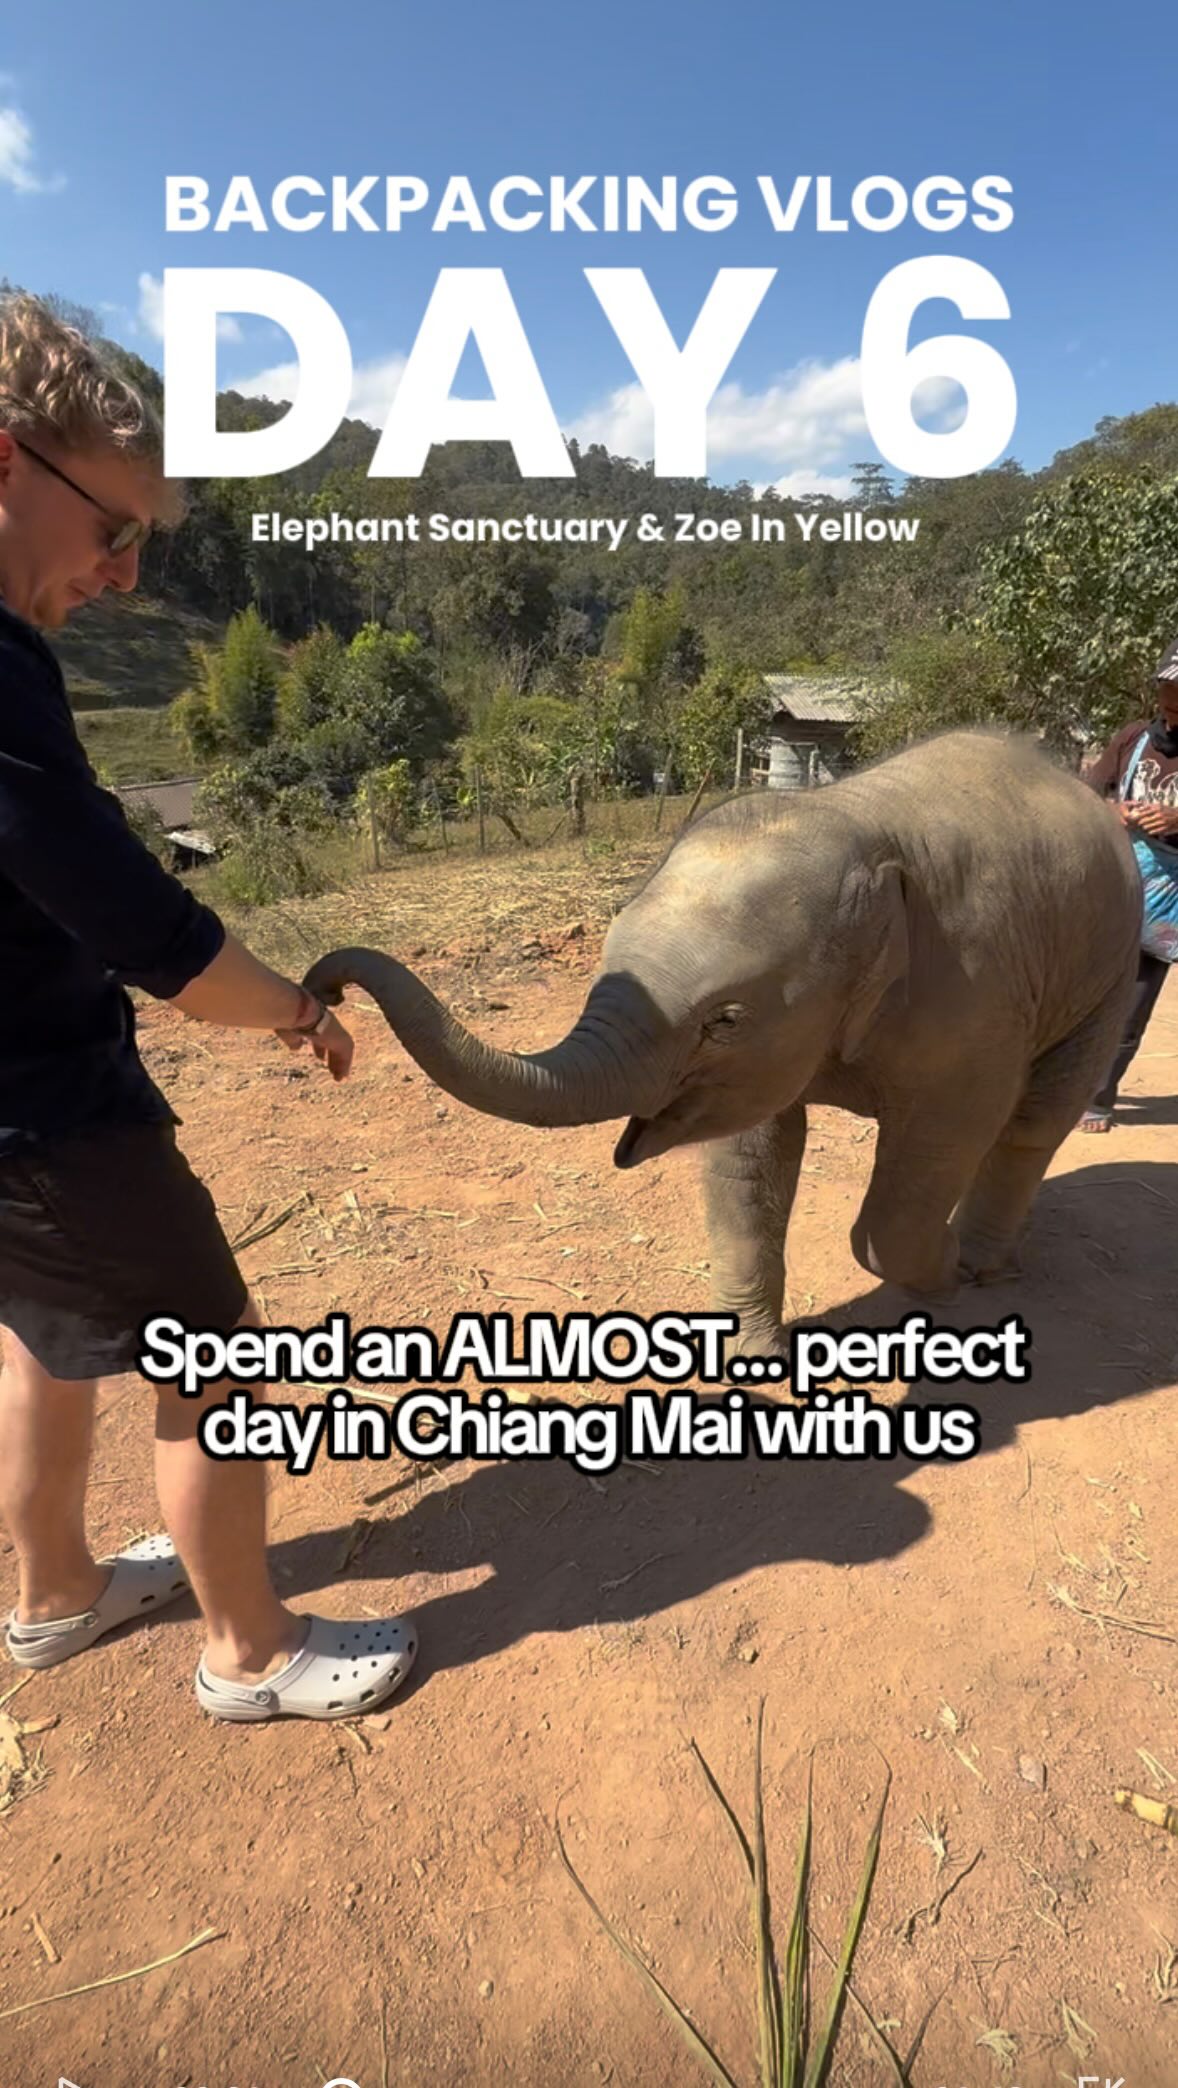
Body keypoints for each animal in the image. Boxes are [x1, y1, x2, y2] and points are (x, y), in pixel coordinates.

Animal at [305, 732, 1142, 1357]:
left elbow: (933, 1155)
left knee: (1034, 1121)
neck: (857, 823)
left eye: (726, 1019)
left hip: (1109, 965)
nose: (326, 987)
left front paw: (940, 1276)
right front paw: (753, 1359)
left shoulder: (969, 999)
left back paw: (986, 1266)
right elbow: (749, 1159)